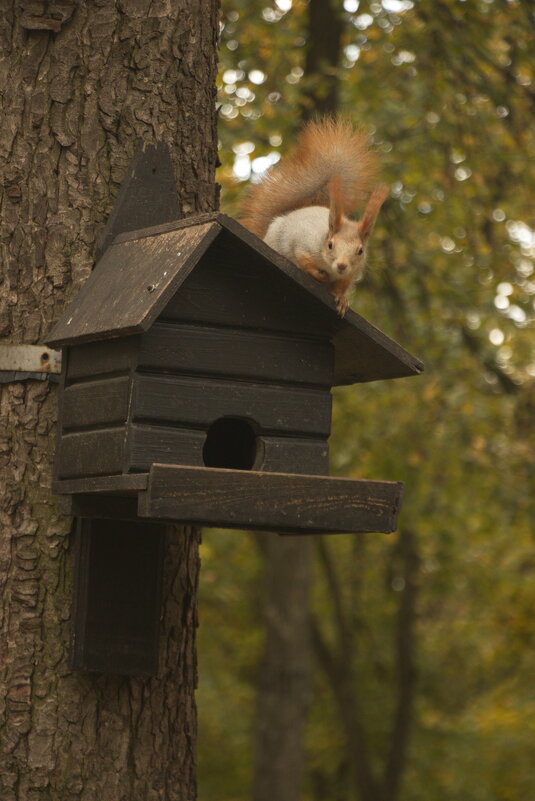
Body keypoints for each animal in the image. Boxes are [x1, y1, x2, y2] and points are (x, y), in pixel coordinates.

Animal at [242, 118, 390, 316]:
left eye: (360, 251)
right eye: (330, 245)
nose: (341, 265)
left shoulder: (351, 272)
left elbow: (342, 285)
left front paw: (342, 299)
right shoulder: (302, 243)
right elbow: (304, 262)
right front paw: (320, 276)